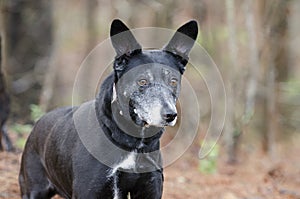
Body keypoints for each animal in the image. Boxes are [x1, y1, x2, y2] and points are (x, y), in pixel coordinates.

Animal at [18, 19, 197, 199]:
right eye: (142, 81)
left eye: (173, 81)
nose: (170, 115)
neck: (134, 140)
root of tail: (39, 122)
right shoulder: (89, 191)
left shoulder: (150, 189)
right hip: (34, 190)